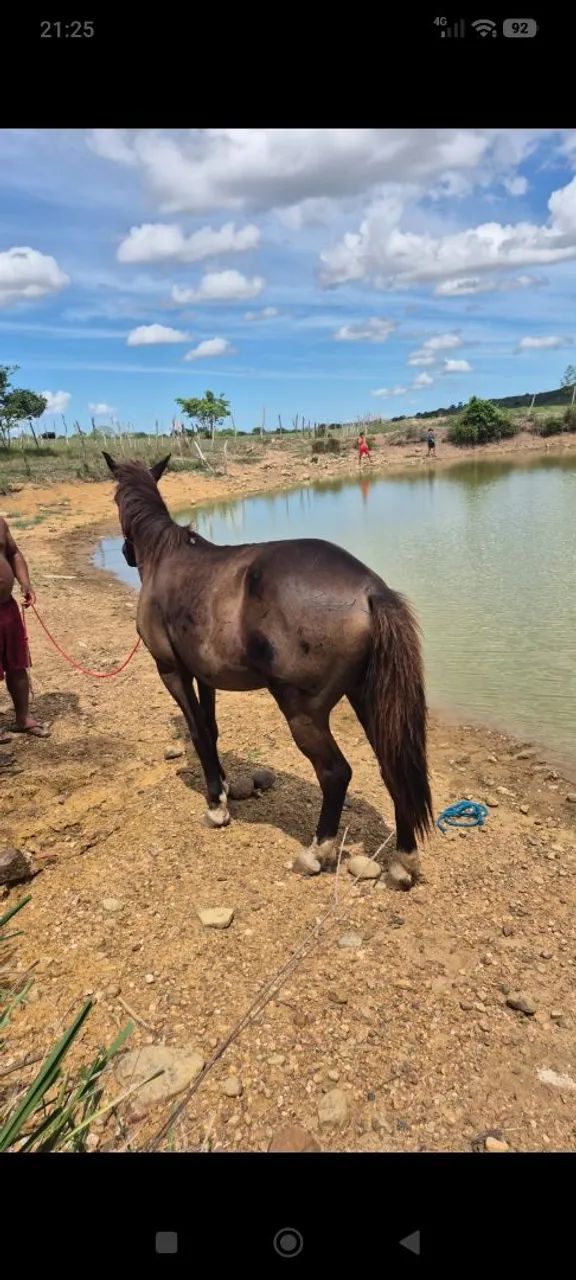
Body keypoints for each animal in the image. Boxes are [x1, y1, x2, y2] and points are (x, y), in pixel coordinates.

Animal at [103, 453, 433, 887]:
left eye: (113, 499)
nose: (125, 553)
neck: (165, 558)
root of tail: (369, 589)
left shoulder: (171, 671)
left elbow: (198, 733)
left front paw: (216, 805)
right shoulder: (205, 676)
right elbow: (211, 730)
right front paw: (223, 786)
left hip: (303, 712)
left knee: (335, 773)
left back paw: (316, 852)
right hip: (368, 700)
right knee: (393, 768)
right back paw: (403, 861)